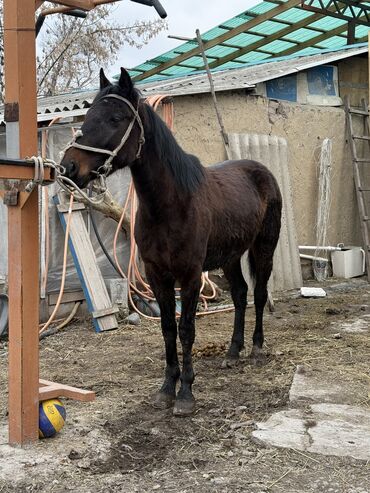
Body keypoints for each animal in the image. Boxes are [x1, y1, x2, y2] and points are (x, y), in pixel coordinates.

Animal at [60, 68, 282, 416]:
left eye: (115, 118)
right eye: (89, 115)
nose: (68, 167)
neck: (171, 204)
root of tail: (261, 171)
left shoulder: (190, 276)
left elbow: (186, 330)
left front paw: (186, 394)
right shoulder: (157, 276)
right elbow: (167, 329)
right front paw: (166, 390)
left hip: (264, 247)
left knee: (258, 294)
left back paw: (257, 348)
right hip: (231, 256)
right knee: (240, 293)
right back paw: (233, 352)